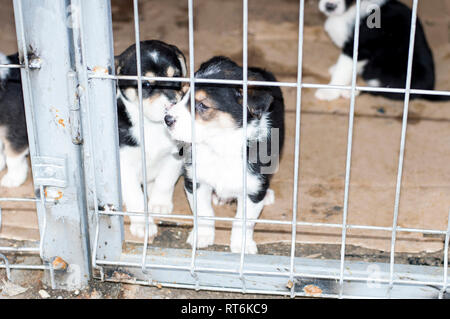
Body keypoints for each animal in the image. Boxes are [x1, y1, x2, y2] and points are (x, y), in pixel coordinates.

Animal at [117, 40, 187, 239]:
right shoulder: (124, 165)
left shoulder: (176, 156)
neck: (153, 127)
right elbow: (135, 196)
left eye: (176, 77)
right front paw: (143, 224)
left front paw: (159, 204)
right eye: (146, 84)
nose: (172, 105)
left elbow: (165, 181)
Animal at [165, 55, 284, 255]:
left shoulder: (252, 188)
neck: (219, 145)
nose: (167, 119)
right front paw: (202, 237)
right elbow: (203, 211)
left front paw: (242, 245)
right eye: (183, 95)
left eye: (202, 105)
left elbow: (243, 221)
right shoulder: (195, 181)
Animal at [314, 0, 448, 101]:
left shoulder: (358, 49)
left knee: (380, 91)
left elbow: (342, 72)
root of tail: (428, 90)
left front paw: (329, 92)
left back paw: (352, 92)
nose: (330, 6)